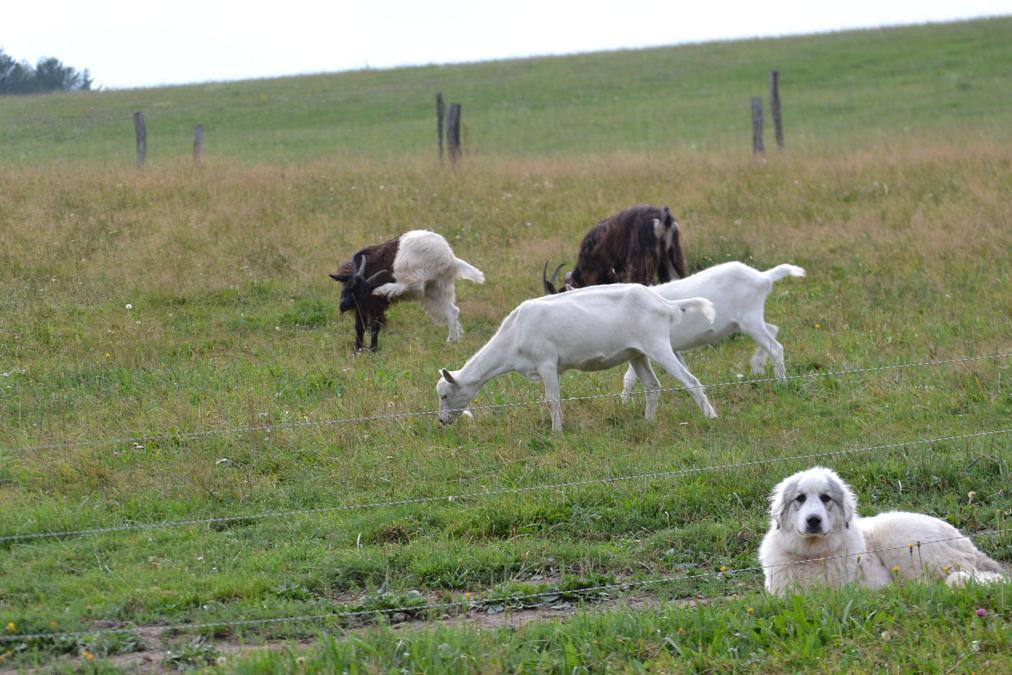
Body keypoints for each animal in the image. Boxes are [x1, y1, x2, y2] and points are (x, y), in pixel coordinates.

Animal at [329, 229, 483, 352]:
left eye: (361, 292)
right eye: (348, 287)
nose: (343, 306)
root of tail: (450, 257)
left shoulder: (375, 305)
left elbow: (375, 327)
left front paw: (372, 351)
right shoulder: (361, 306)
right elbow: (359, 327)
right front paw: (358, 351)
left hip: (415, 273)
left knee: (416, 285)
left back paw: (385, 289)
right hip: (435, 289)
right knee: (452, 310)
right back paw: (452, 342)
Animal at [439, 283, 716, 433]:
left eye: (444, 395)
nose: (441, 420)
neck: (513, 335)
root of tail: (663, 303)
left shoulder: (547, 363)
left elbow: (552, 400)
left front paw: (556, 431)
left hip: (657, 345)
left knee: (691, 381)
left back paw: (711, 417)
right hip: (637, 353)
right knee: (652, 386)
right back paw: (648, 422)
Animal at [615, 261, 805, 404]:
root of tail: (763, 277)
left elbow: (629, 376)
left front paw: (623, 402)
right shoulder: (669, 348)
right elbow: (683, 369)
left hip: (750, 319)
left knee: (776, 347)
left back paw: (781, 383)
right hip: (746, 322)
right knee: (773, 330)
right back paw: (758, 367)